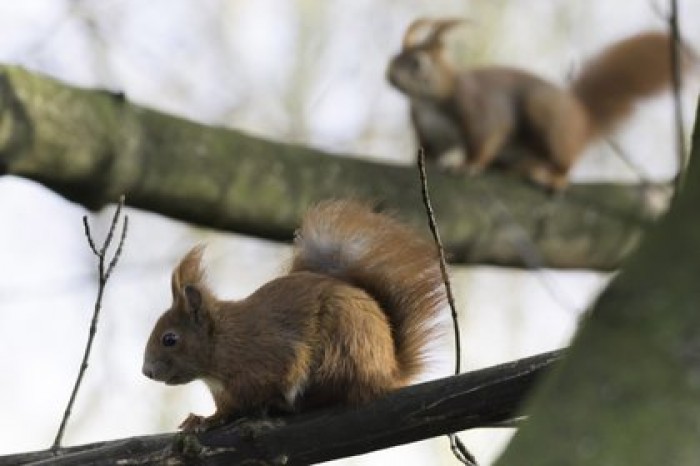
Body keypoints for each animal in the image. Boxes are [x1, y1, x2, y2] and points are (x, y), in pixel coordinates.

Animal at [141, 198, 442, 432]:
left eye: (170, 339)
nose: (147, 372)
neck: (223, 345)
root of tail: (390, 369)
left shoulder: (272, 353)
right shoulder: (227, 392)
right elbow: (226, 410)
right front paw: (206, 419)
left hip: (345, 344)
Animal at [386, 18, 696, 189]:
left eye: (417, 63)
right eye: (392, 58)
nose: (389, 76)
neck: (427, 101)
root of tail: (581, 120)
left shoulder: (480, 109)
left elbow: (485, 139)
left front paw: (468, 166)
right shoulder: (428, 130)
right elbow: (430, 150)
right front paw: (426, 163)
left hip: (546, 119)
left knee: (564, 162)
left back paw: (553, 178)